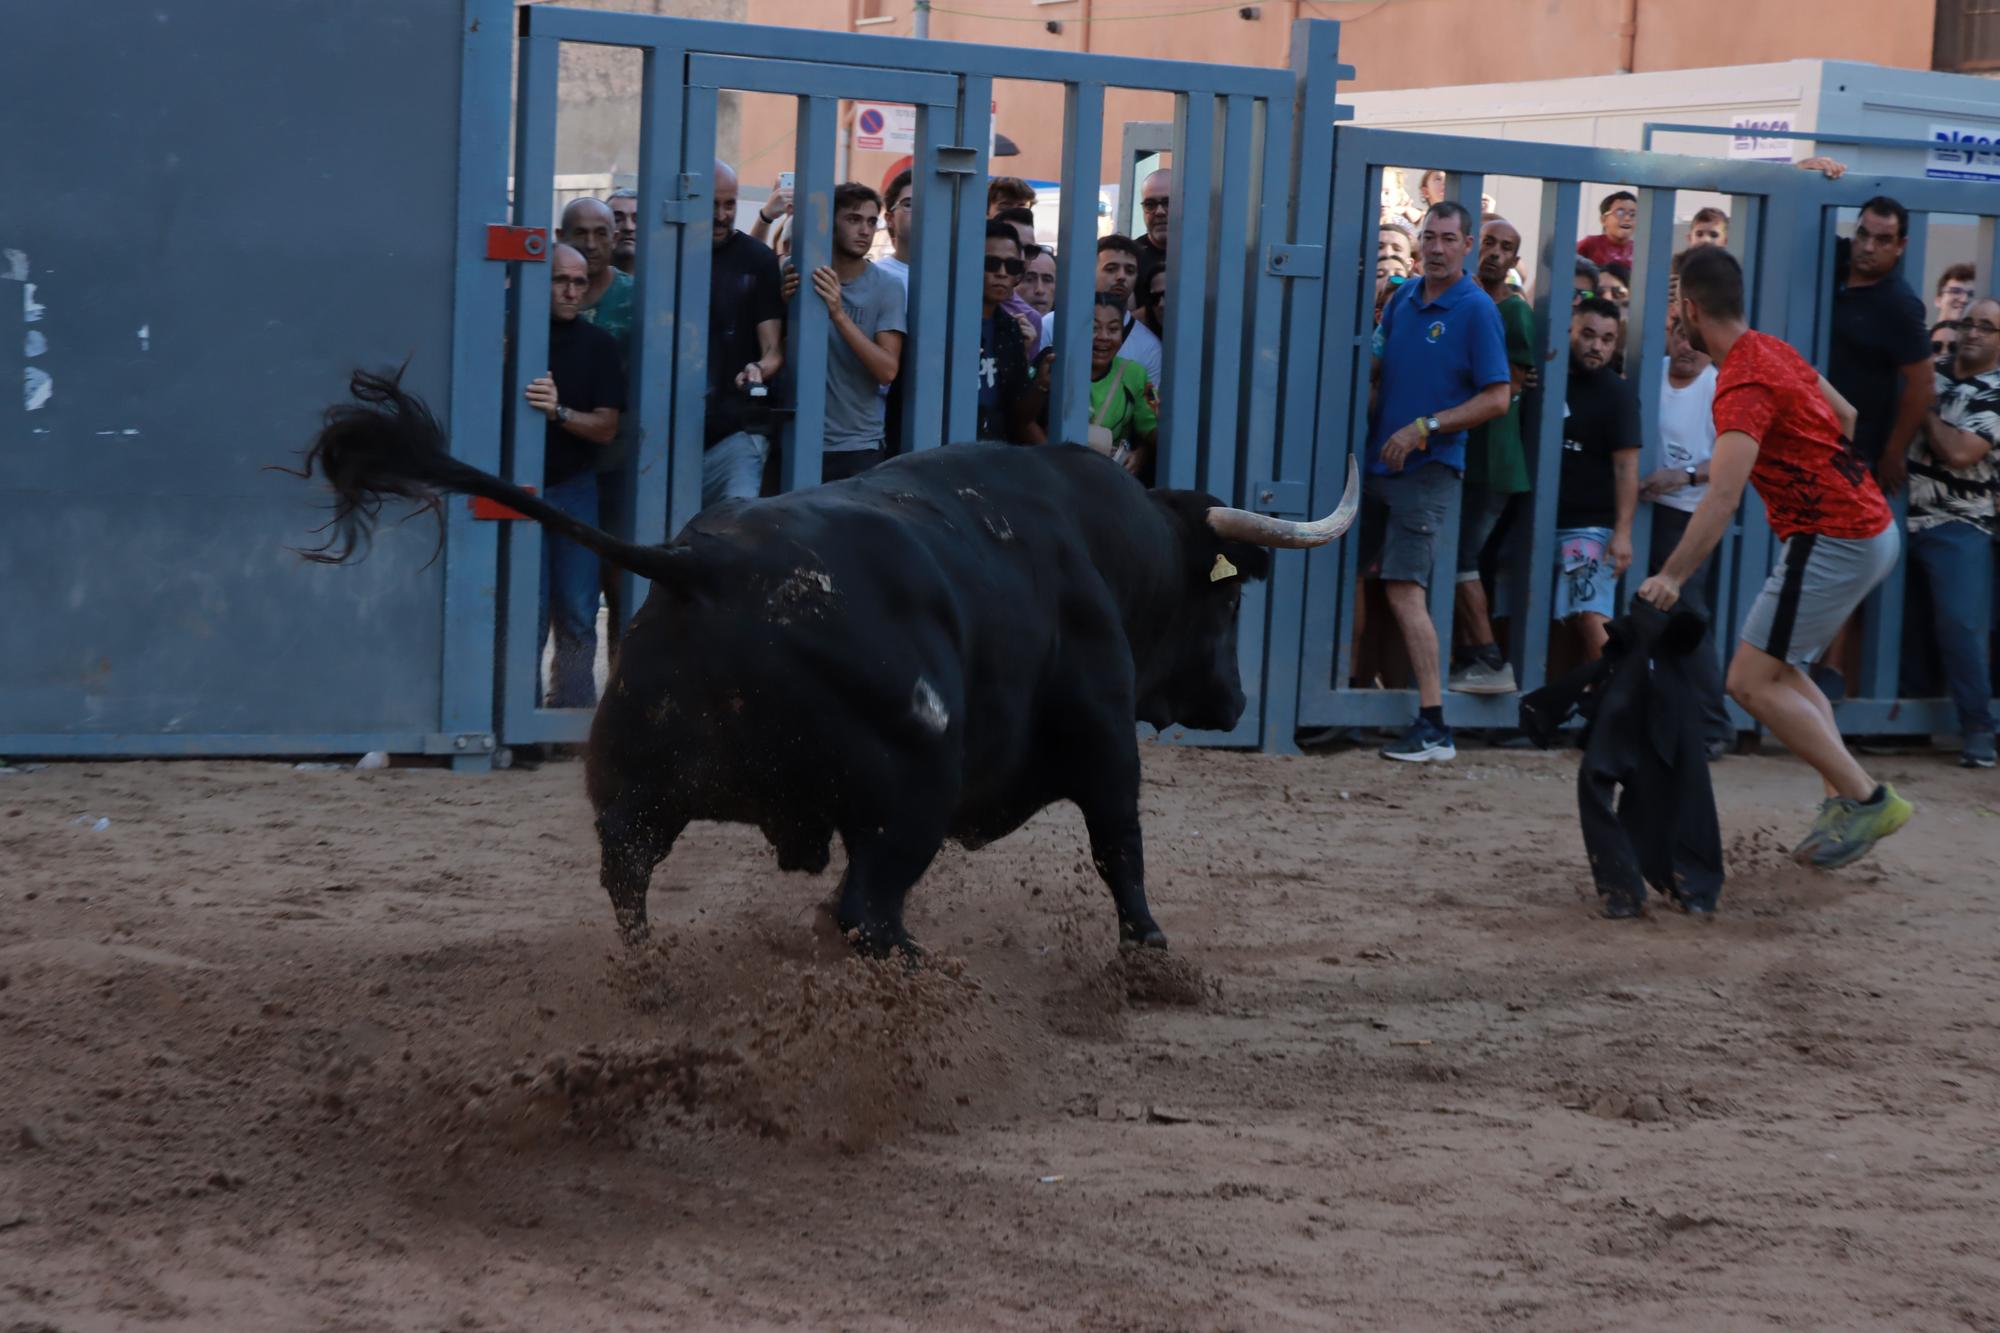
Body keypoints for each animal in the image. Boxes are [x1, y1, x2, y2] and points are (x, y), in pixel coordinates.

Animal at [296, 374, 1360, 948]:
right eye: (1229, 597)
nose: (1235, 700)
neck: (1096, 546)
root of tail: (702, 566)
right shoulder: (1105, 746)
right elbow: (1122, 852)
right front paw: (1153, 950)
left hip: (641, 793)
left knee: (630, 889)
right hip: (908, 805)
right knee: (864, 913)